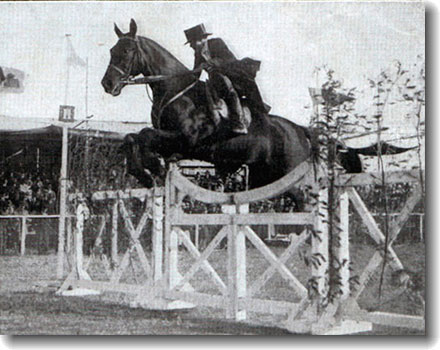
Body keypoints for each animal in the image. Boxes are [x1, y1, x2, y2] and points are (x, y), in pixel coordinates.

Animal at [101, 19, 414, 209]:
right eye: (111, 49)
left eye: (126, 51)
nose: (107, 84)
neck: (176, 90)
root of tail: (301, 131)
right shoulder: (174, 142)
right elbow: (132, 137)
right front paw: (145, 173)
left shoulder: (187, 140)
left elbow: (143, 134)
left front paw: (150, 169)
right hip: (267, 178)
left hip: (292, 178)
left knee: (306, 203)